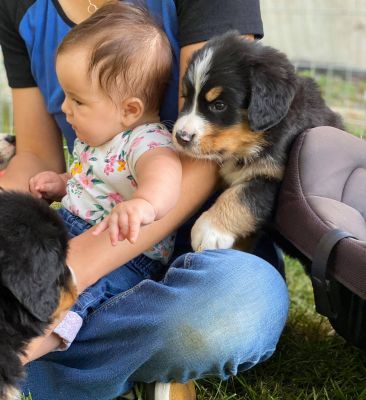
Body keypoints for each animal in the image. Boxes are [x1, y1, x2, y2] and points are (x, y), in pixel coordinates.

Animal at [173, 32, 344, 250]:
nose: (181, 136)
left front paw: (209, 230)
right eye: (186, 98)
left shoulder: (278, 181)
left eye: (219, 105)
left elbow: (244, 195)